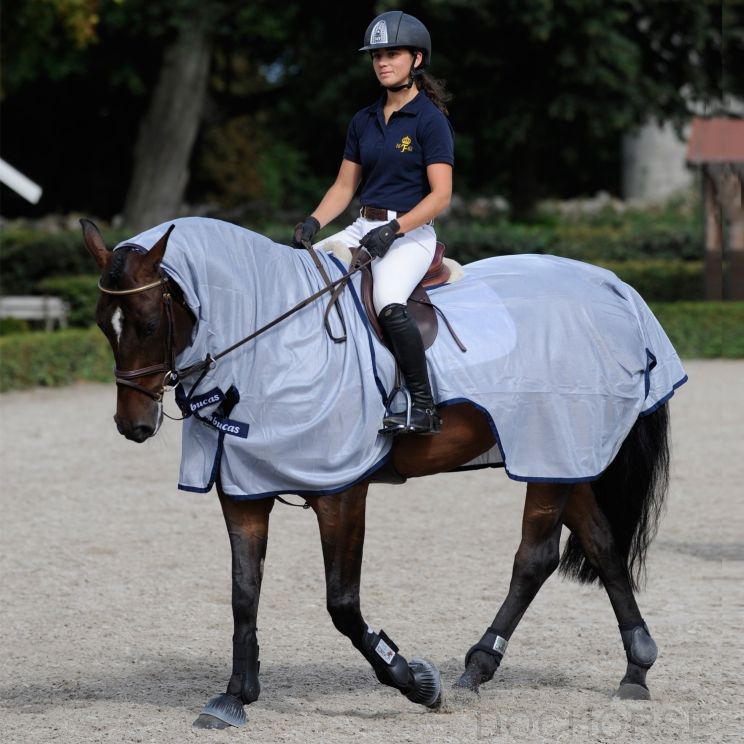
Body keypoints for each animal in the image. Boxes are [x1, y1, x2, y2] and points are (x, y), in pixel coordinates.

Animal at [81, 216, 685, 730]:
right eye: (102, 325)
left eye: (149, 323)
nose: (133, 425)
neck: (275, 342)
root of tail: (613, 286)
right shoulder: (244, 489)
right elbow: (243, 593)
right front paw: (234, 697)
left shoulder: (342, 494)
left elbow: (342, 605)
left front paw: (414, 681)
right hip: (561, 455)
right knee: (601, 544)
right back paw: (634, 667)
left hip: (548, 446)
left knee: (535, 558)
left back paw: (478, 667)